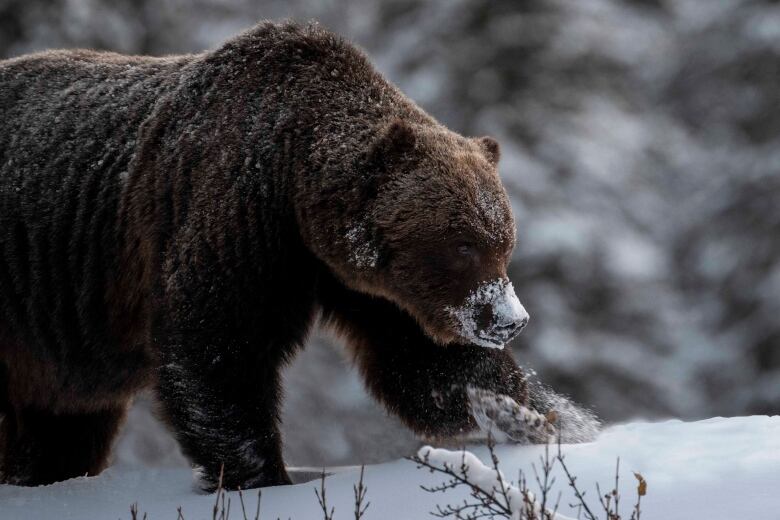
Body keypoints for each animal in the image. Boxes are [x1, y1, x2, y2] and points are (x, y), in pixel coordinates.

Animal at [1, 21, 596, 492]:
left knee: (68, 428)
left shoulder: (357, 282)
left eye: (505, 243)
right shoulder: (237, 220)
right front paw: (263, 474)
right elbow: (217, 348)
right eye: (462, 245)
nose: (510, 320)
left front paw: (532, 415)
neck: (293, 190)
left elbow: (426, 365)